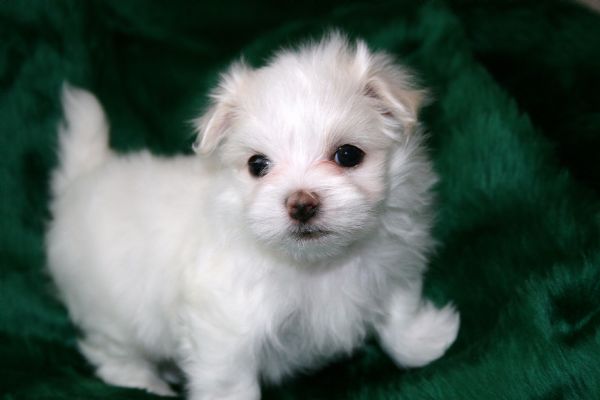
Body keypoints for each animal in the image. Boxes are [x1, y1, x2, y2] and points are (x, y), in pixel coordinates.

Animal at [47, 34, 460, 400]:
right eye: (257, 165)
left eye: (347, 155)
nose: (301, 203)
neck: (319, 264)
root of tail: (83, 178)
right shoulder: (224, 325)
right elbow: (230, 381)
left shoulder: (390, 269)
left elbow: (399, 314)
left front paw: (426, 342)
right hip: (109, 311)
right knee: (112, 353)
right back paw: (145, 384)